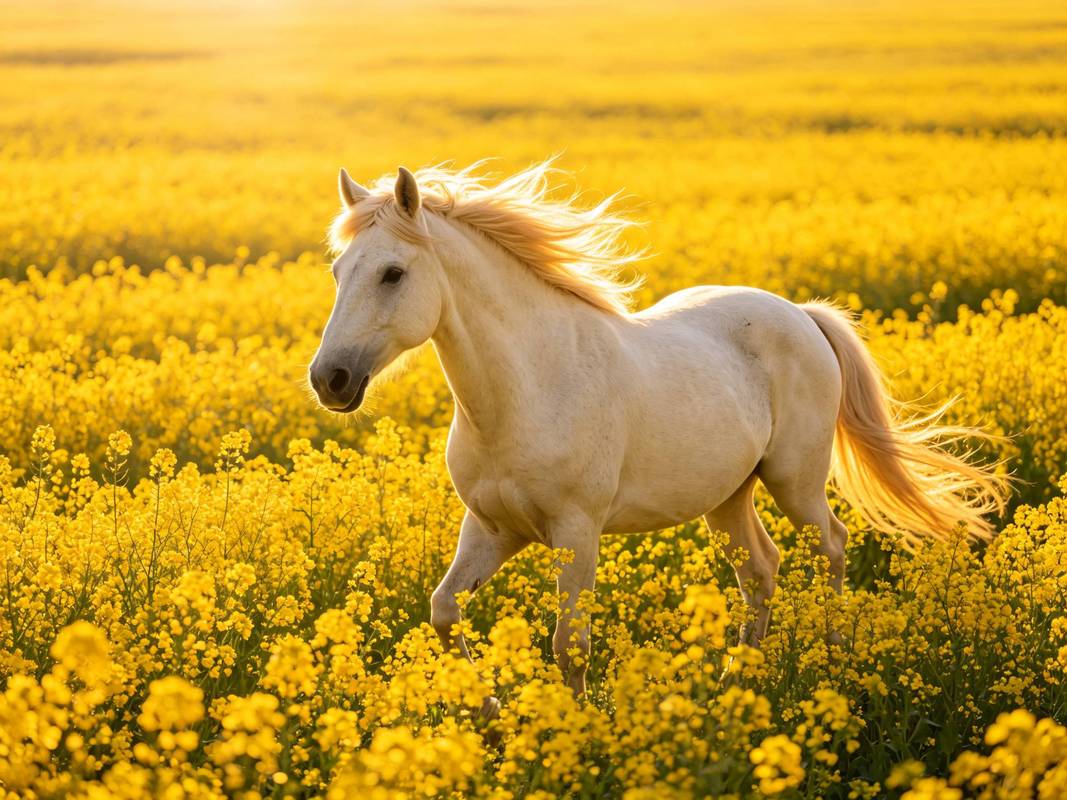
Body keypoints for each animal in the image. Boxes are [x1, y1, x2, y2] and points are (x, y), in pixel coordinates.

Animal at [308, 161, 1007, 697]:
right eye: (339, 273)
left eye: (393, 273)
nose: (330, 379)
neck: (526, 389)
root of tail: (802, 314)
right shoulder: (493, 529)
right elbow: (444, 611)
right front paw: (490, 713)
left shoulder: (576, 532)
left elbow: (570, 644)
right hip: (728, 496)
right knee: (761, 569)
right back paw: (734, 684)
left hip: (795, 481)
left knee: (830, 545)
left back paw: (833, 660)